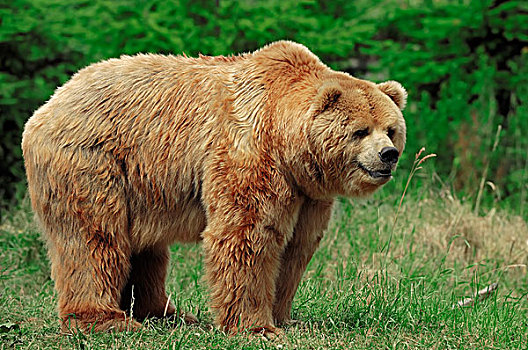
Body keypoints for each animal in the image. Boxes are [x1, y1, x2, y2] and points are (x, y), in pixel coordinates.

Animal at [22, 41, 406, 336]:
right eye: (360, 131)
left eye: (390, 128)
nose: (388, 154)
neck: (288, 145)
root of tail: (51, 101)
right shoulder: (248, 153)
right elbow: (247, 233)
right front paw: (256, 327)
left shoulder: (308, 193)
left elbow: (295, 246)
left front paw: (284, 317)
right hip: (93, 160)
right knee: (94, 237)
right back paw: (105, 320)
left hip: (142, 183)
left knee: (145, 250)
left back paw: (165, 313)